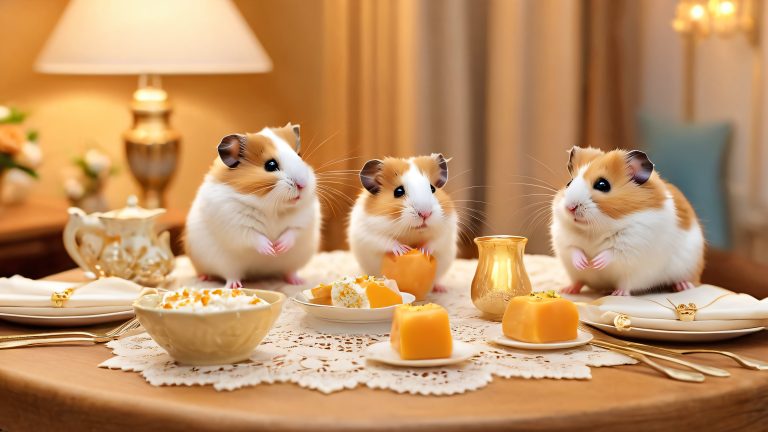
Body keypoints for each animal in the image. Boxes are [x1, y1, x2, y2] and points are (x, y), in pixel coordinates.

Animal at [185, 123, 321, 288]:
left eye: (299, 156)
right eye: (271, 165)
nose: (302, 185)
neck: (272, 208)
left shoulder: (304, 218)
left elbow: (292, 231)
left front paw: (279, 247)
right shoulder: (235, 224)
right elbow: (253, 236)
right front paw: (270, 249)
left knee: (289, 271)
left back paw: (298, 281)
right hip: (222, 263)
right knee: (230, 275)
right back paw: (226, 284)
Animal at [347, 154, 458, 292]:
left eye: (432, 188)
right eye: (398, 191)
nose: (425, 214)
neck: (412, 232)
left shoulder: (446, 230)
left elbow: (434, 242)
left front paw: (423, 250)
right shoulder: (368, 233)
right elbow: (386, 241)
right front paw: (403, 249)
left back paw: (441, 289)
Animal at [551, 147, 705, 296]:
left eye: (602, 185)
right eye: (569, 183)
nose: (570, 207)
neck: (595, 230)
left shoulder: (634, 242)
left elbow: (612, 252)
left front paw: (595, 262)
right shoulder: (563, 238)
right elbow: (574, 249)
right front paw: (585, 263)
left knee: (627, 285)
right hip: (576, 275)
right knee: (579, 281)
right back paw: (567, 290)